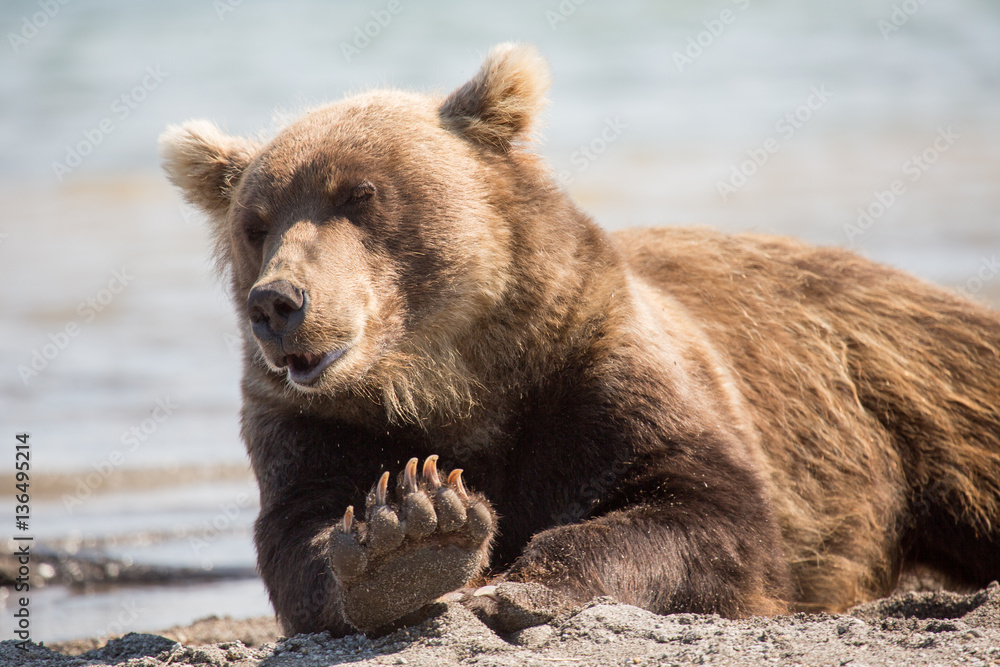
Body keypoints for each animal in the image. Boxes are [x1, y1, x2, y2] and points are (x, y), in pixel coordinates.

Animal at [159, 43, 1000, 636]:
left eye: (360, 196)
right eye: (255, 222)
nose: (278, 302)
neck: (450, 381)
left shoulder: (593, 363)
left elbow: (701, 504)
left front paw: (500, 571)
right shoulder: (316, 422)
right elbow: (304, 533)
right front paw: (405, 535)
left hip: (921, 384)